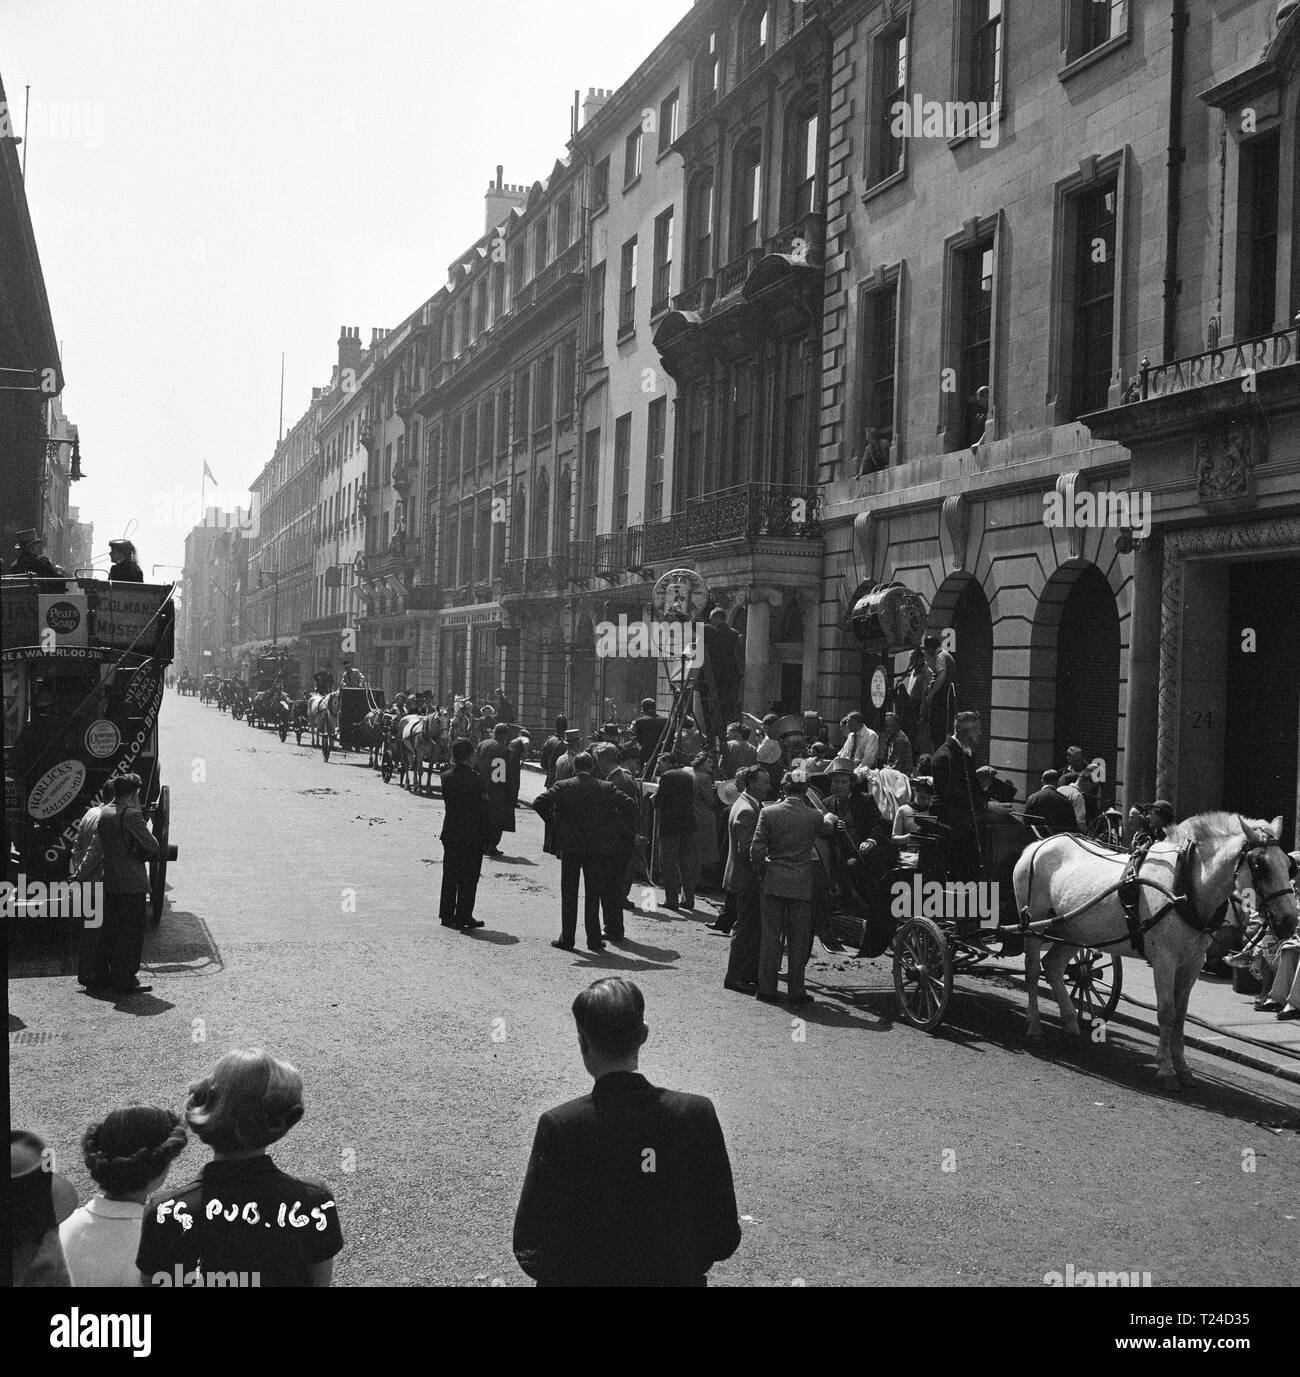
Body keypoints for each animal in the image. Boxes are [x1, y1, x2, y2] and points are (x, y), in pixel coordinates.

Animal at [1019, 809, 1294, 1090]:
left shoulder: (1193, 961)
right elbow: (1166, 1012)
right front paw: (1166, 1069)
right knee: (1032, 971)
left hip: (1072, 930)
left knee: (1053, 967)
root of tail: (1039, 844)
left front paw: (1182, 1067)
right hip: (1034, 925)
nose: (1289, 922)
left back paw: (1071, 1024)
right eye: (1261, 866)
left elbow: (1181, 1014)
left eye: (1288, 864)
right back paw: (1034, 1027)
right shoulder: (1164, 960)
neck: (1184, 885)